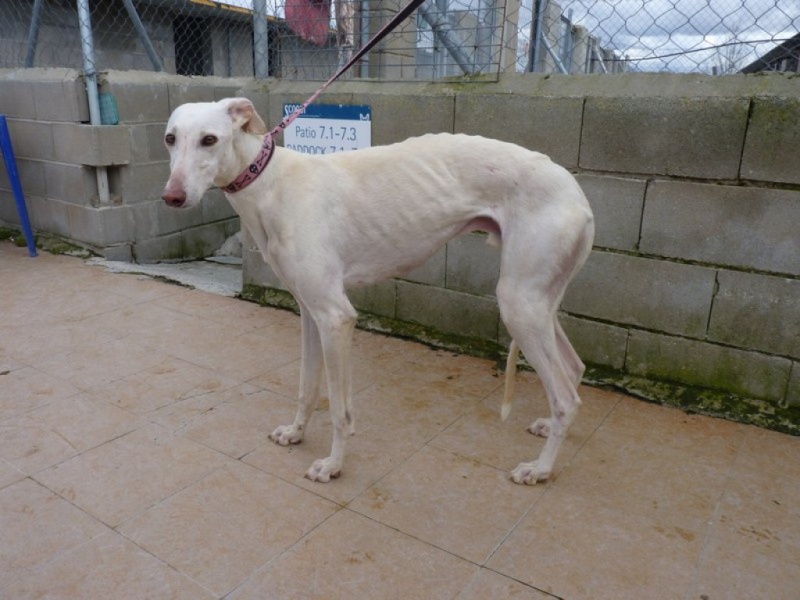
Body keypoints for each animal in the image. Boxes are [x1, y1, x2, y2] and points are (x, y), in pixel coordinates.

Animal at [161, 97, 592, 482]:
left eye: (210, 139)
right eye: (170, 138)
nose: (172, 197)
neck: (271, 182)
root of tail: (578, 196)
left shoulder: (336, 317)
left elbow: (339, 408)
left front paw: (333, 465)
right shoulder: (309, 312)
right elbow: (307, 386)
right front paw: (296, 432)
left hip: (519, 303)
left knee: (566, 398)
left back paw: (540, 469)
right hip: (535, 301)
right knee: (574, 369)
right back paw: (548, 428)